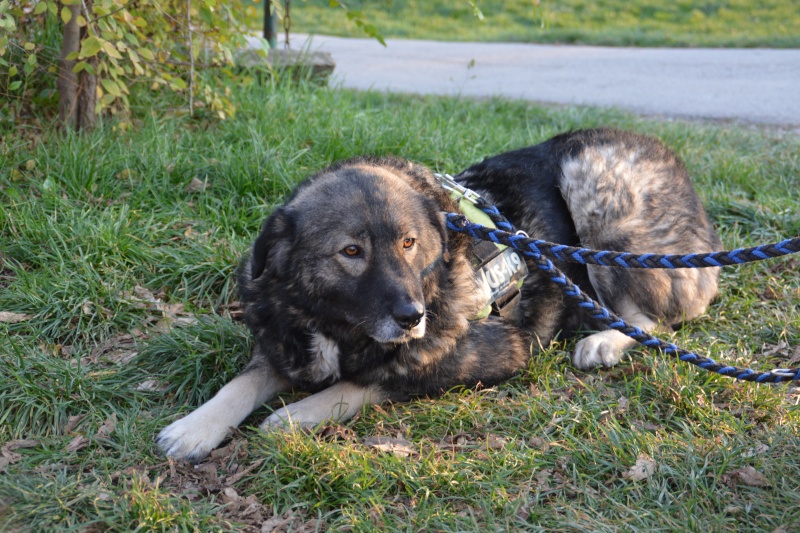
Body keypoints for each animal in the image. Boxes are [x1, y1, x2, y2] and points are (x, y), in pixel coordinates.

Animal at [155, 129, 720, 462]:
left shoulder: (486, 353)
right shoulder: (286, 339)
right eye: (351, 251)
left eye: (409, 243)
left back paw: (603, 341)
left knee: (652, 319)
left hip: (597, 189)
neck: (339, 324)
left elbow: (369, 382)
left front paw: (295, 415)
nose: (413, 316)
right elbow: (244, 382)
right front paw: (196, 426)